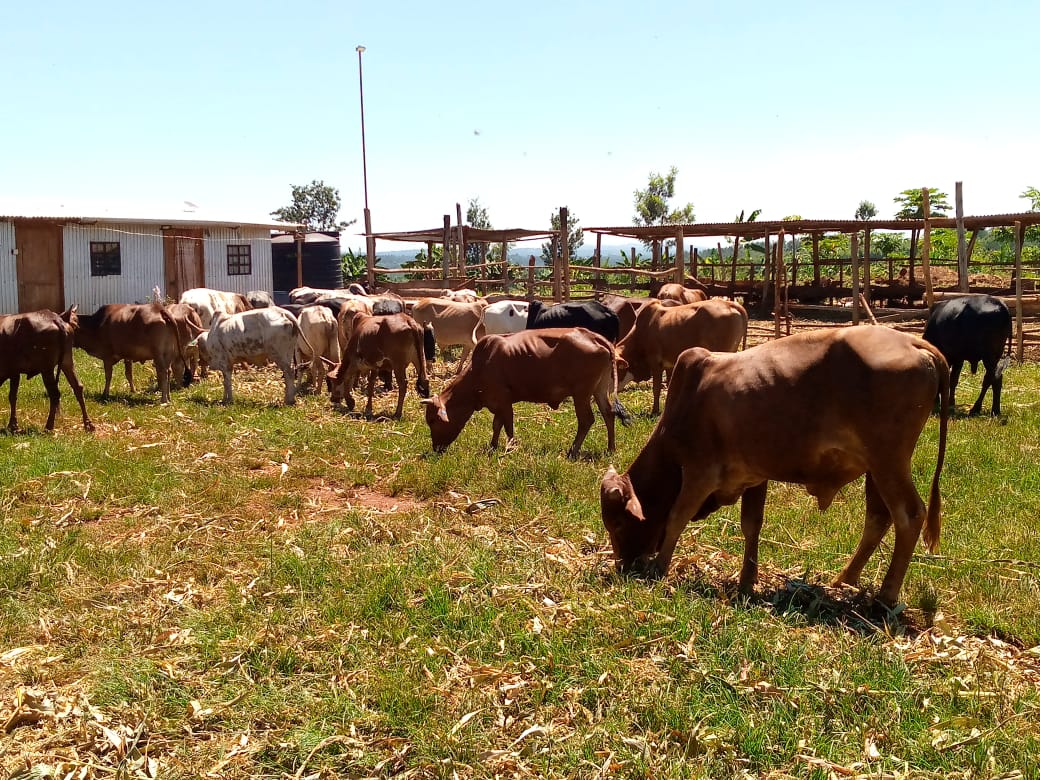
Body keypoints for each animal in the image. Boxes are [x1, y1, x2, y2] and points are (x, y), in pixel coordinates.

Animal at [421, 328, 630, 458]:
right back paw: (611, 448)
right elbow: (496, 425)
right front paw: (493, 446)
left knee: (587, 420)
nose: (436, 448)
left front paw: (509, 448)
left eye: (432, 420)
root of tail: (593, 336)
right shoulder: (498, 402)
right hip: (599, 389)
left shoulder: (503, 400)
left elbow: (507, 426)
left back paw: (573, 450)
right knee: (608, 413)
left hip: (581, 393)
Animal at [600, 326, 950, 607]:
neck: (689, 401)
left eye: (617, 524)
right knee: (878, 518)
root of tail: (915, 342)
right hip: (876, 469)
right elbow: (751, 526)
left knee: (908, 515)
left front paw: (660, 567)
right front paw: (746, 580)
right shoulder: (754, 476)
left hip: (889, 462)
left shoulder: (700, 473)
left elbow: (676, 517)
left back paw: (886, 595)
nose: (623, 566)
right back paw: (844, 580)